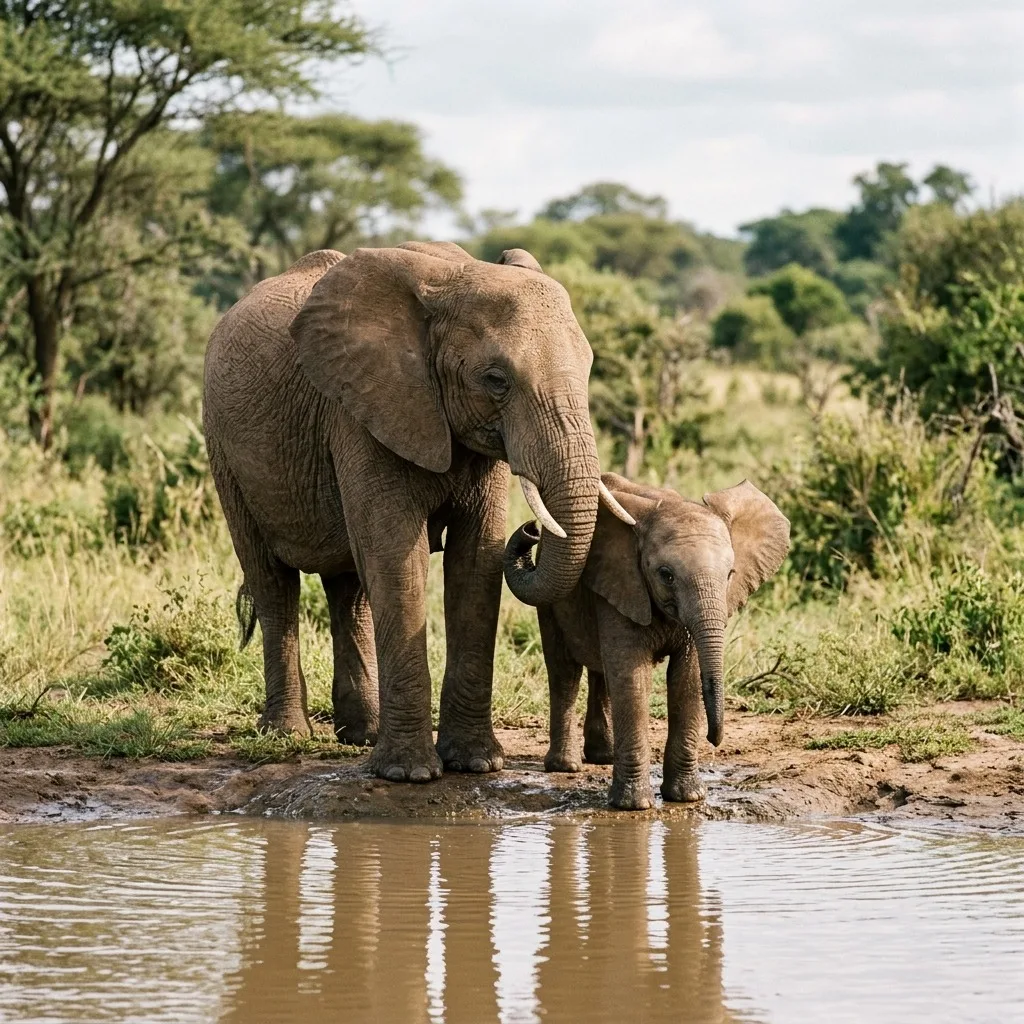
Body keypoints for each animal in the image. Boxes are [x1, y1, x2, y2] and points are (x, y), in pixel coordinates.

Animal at [203, 241, 635, 783]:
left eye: (590, 365)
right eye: (496, 380)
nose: (532, 532)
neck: (453, 280)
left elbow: (477, 562)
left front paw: (475, 763)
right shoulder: (363, 408)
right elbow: (398, 560)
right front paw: (409, 774)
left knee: (350, 588)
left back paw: (361, 734)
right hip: (224, 450)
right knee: (272, 581)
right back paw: (287, 735)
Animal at [505, 473, 790, 810]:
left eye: (730, 574)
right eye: (666, 575)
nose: (714, 739)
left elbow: (687, 678)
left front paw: (687, 798)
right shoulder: (625, 581)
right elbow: (632, 676)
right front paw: (634, 805)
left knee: (601, 672)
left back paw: (603, 757)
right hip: (552, 599)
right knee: (564, 671)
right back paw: (566, 766)